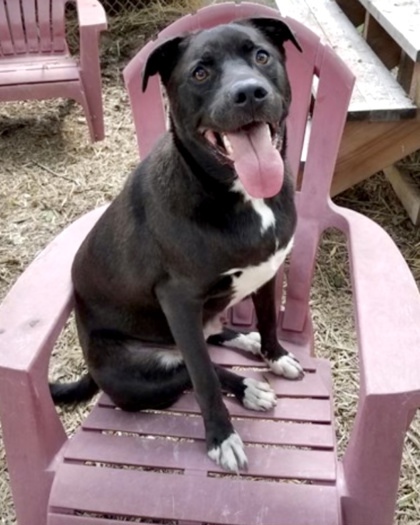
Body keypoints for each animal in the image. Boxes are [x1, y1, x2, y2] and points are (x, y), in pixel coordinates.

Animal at [50, 18, 304, 472]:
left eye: (261, 56)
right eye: (199, 73)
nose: (249, 93)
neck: (241, 194)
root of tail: (92, 370)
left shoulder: (268, 267)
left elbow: (269, 319)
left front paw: (273, 354)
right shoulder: (179, 299)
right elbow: (203, 377)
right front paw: (222, 437)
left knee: (208, 340)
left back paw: (242, 341)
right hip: (138, 376)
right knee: (188, 368)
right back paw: (246, 387)